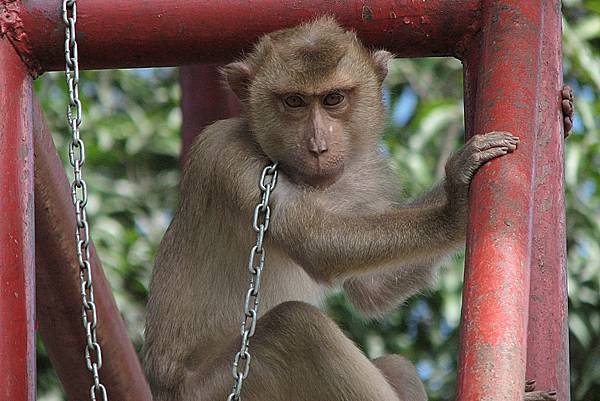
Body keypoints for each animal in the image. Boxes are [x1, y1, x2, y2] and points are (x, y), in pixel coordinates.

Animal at [144, 16, 556, 400]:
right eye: (293, 101)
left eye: (333, 99)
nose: (318, 145)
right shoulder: (228, 156)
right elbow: (317, 244)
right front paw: (456, 207)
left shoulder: (367, 172)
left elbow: (372, 289)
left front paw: (561, 112)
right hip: (218, 388)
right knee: (297, 327)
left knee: (393, 364)